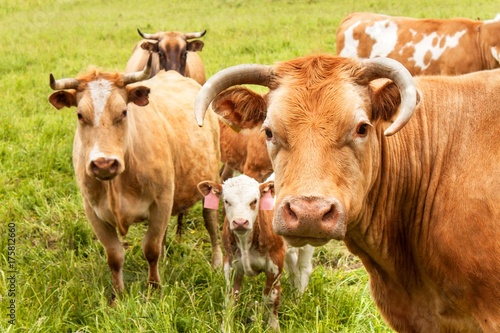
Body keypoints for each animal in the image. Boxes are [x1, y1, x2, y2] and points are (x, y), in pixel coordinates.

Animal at [47, 55, 223, 298]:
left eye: (123, 112)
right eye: (80, 115)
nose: (104, 164)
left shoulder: (161, 202)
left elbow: (151, 248)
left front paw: (154, 287)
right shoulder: (93, 212)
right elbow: (115, 255)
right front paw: (118, 294)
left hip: (211, 182)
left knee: (210, 222)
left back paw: (216, 262)